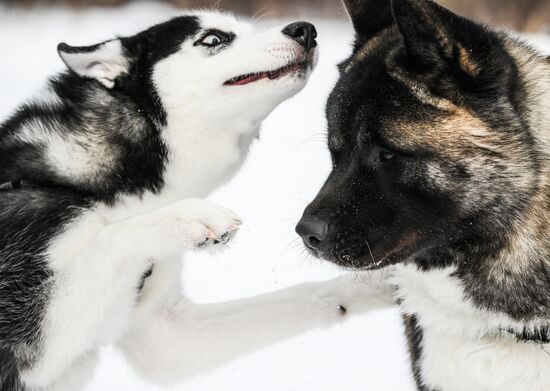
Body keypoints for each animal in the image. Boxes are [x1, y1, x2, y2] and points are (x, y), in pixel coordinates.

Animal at [0, 10, 376, 390]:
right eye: (212, 39)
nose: (305, 30)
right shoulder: (27, 335)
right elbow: (114, 237)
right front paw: (187, 217)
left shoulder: (165, 330)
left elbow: (303, 296)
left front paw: (378, 286)